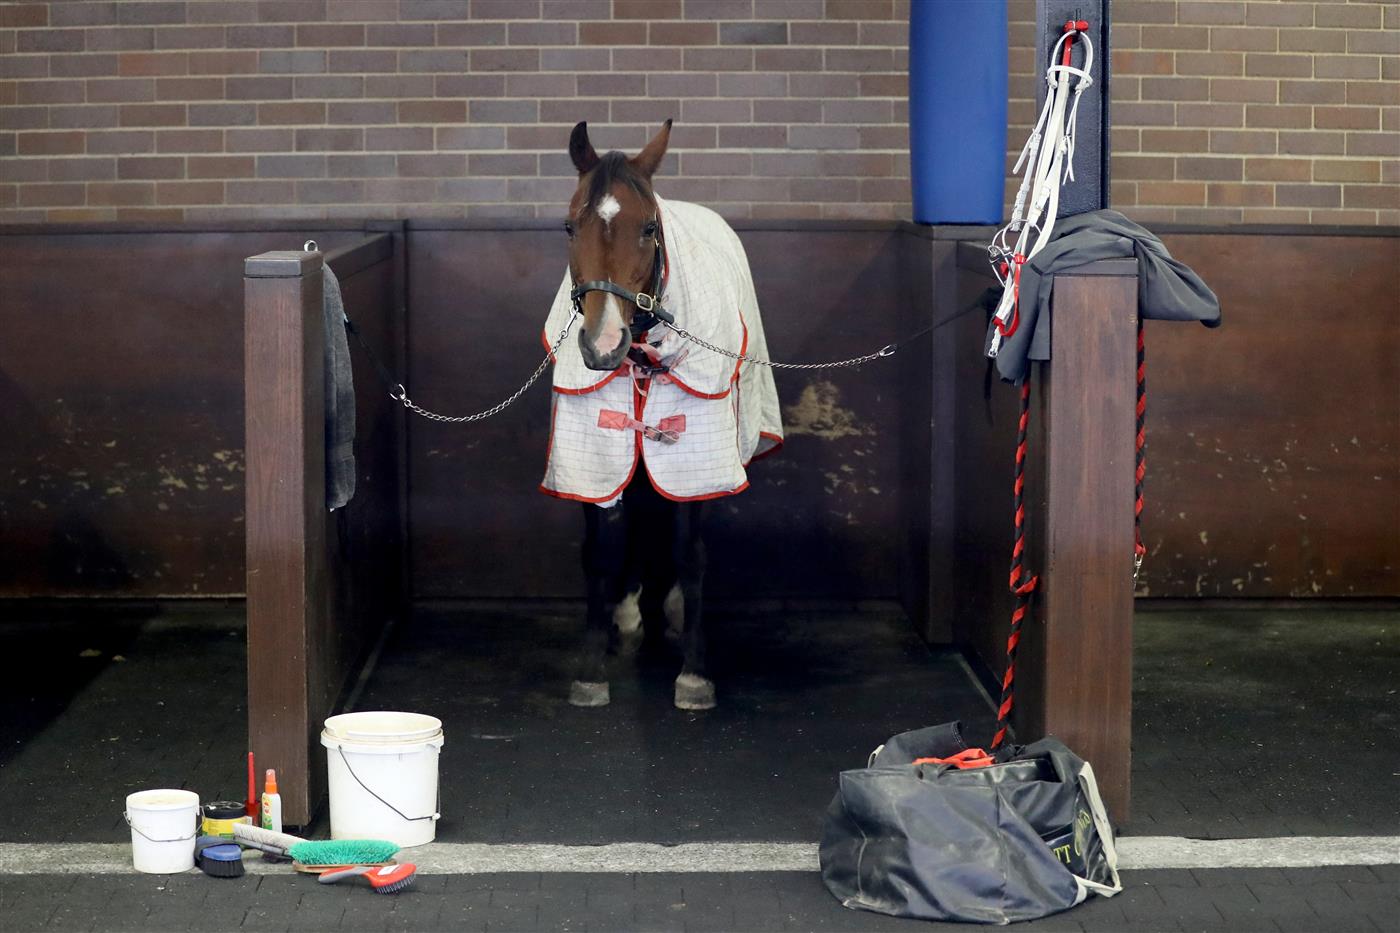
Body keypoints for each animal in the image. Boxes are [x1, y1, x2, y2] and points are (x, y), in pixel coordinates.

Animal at [539, 120, 783, 710]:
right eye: (569, 226)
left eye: (649, 228)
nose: (602, 343)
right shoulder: (595, 450)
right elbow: (599, 553)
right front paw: (591, 669)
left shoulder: (696, 451)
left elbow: (690, 553)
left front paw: (694, 673)